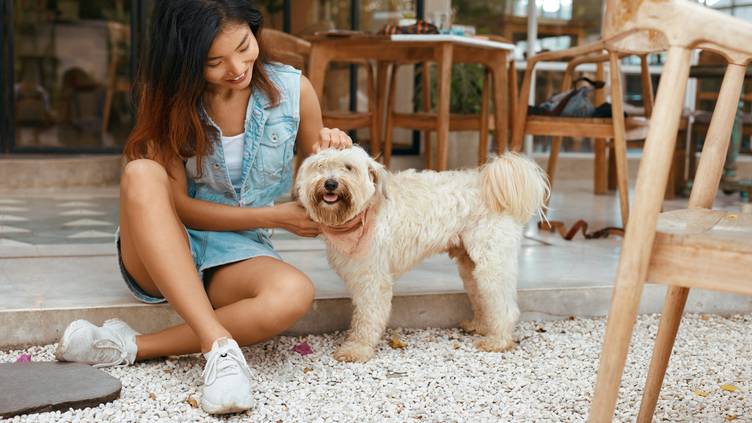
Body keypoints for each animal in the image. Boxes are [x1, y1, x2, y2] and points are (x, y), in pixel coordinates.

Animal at [294, 147, 548, 364]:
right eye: (320, 166)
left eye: (348, 167)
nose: (330, 183)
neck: (366, 210)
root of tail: (491, 184)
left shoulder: (373, 279)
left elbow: (368, 316)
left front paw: (357, 349)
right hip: (471, 265)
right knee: (482, 296)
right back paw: (480, 325)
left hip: (492, 262)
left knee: (504, 305)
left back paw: (498, 340)